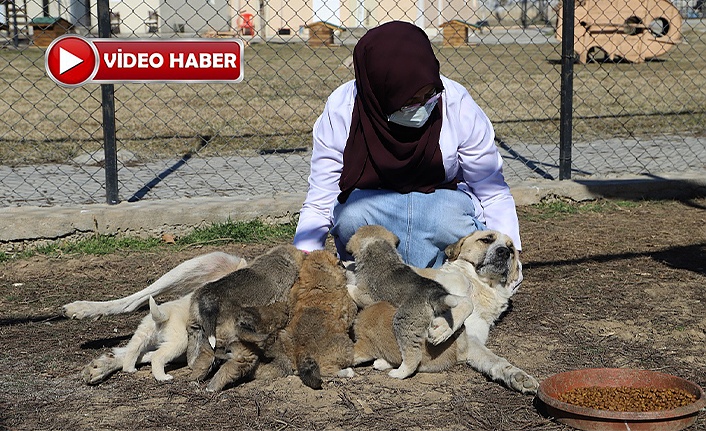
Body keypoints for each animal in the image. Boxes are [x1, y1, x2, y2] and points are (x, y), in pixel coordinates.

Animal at [280, 250, 358, 392]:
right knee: (328, 370)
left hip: (283, 336)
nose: (336, 253)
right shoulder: (349, 304)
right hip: (345, 347)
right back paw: (347, 372)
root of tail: (303, 348)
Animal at [342, 224, 470, 380]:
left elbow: (354, 290)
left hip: (404, 324)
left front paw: (347, 286)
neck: (380, 249)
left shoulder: (366, 295)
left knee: (413, 357)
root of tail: (432, 293)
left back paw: (399, 372)